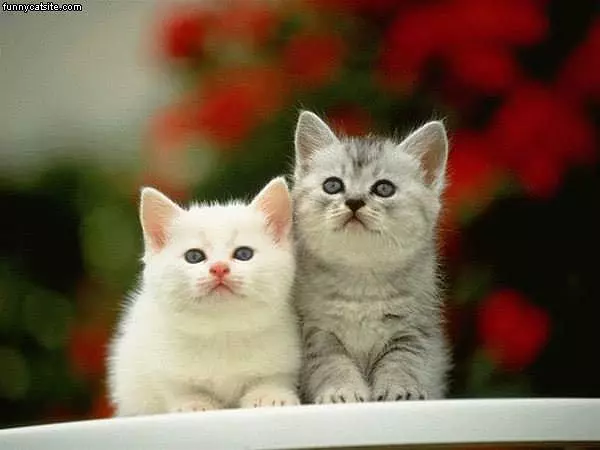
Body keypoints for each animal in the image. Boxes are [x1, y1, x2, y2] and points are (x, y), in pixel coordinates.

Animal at [107, 178, 300, 416]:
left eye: (244, 254)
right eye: (194, 256)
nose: (219, 268)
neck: (221, 331)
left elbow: (273, 377)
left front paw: (270, 395)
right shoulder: (157, 360)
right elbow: (178, 387)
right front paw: (195, 403)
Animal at [290, 110, 450, 402]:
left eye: (384, 189)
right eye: (332, 185)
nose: (354, 201)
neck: (361, 280)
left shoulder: (412, 330)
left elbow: (401, 361)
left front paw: (401, 389)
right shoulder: (316, 332)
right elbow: (333, 363)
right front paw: (342, 390)